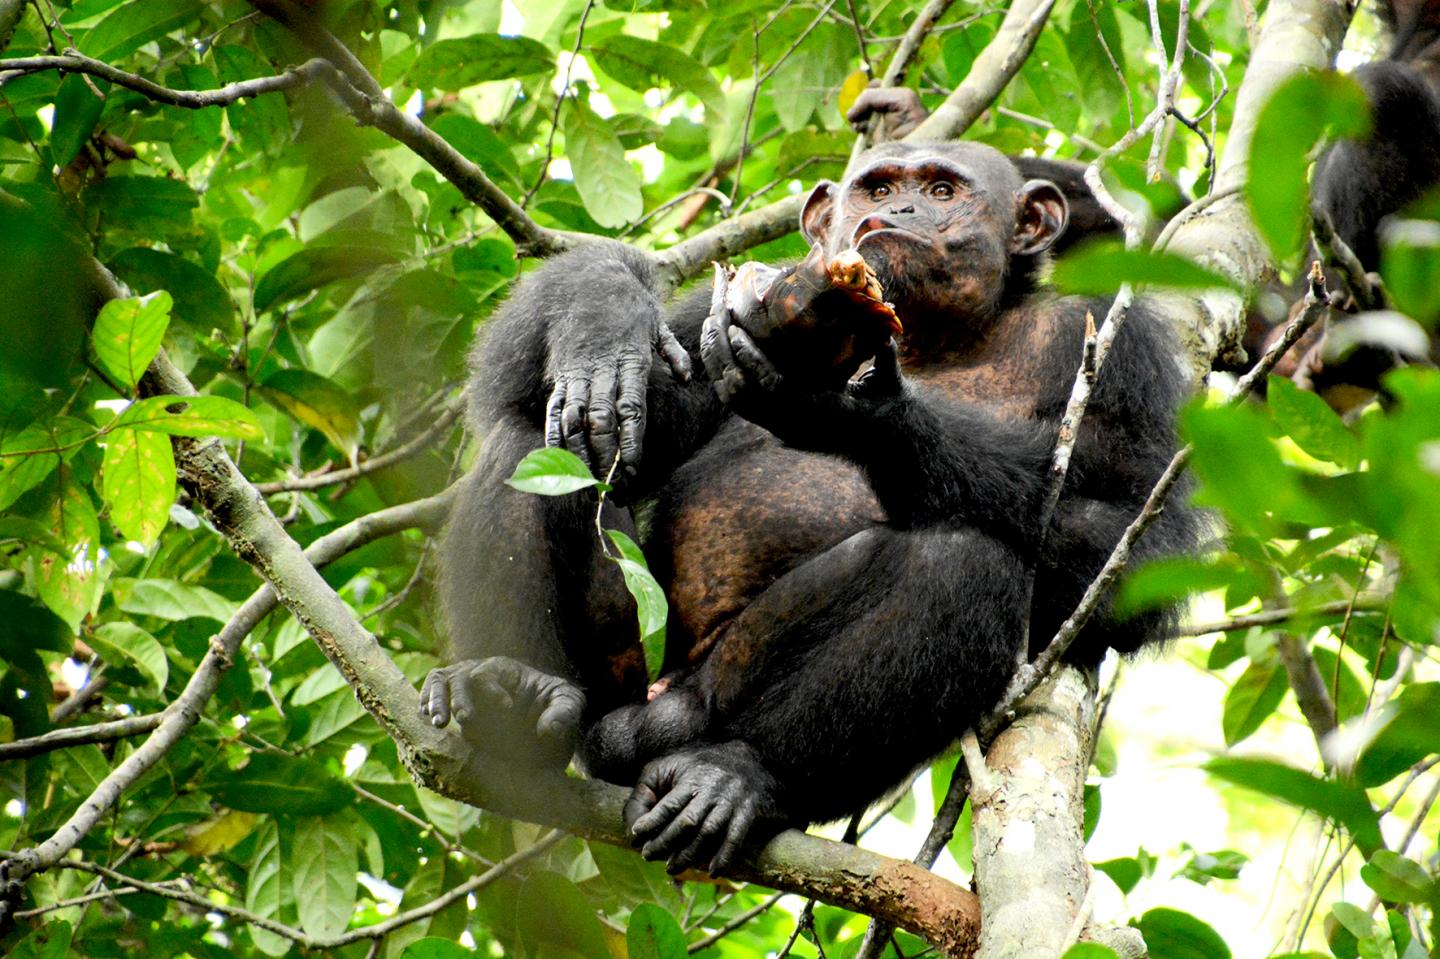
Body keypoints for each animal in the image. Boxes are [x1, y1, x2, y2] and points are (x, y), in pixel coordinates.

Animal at [423, 140, 1203, 863]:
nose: (900, 211)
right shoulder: (700, 326)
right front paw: (603, 324)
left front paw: (846, 410)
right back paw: (513, 691)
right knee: (529, 444)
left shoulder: (1120, 344)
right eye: (878, 187)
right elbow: (535, 391)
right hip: (622, 676)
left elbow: (1137, 531)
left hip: (701, 703)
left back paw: (736, 775)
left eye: (943, 190)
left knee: (963, 561)